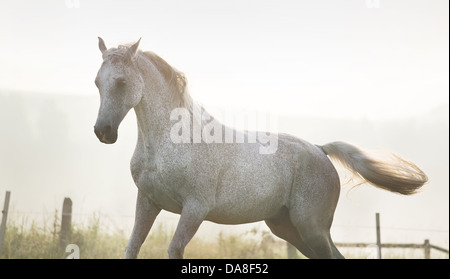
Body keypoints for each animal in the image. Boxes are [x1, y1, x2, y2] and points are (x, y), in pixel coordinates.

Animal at [93, 37, 428, 260]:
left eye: (121, 82)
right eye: (97, 82)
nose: (103, 132)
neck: (168, 143)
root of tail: (320, 150)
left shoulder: (195, 208)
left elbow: (174, 249)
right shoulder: (148, 202)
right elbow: (132, 247)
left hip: (312, 226)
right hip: (288, 228)